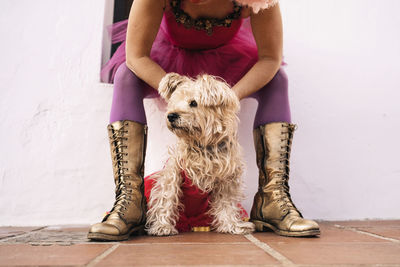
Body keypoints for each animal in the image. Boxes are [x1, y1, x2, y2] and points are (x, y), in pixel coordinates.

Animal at [145, 73, 255, 237]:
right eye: (174, 102)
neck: (203, 147)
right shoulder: (173, 173)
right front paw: (162, 227)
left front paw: (231, 225)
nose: (171, 116)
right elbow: (167, 198)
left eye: (193, 103)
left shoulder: (226, 179)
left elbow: (226, 203)